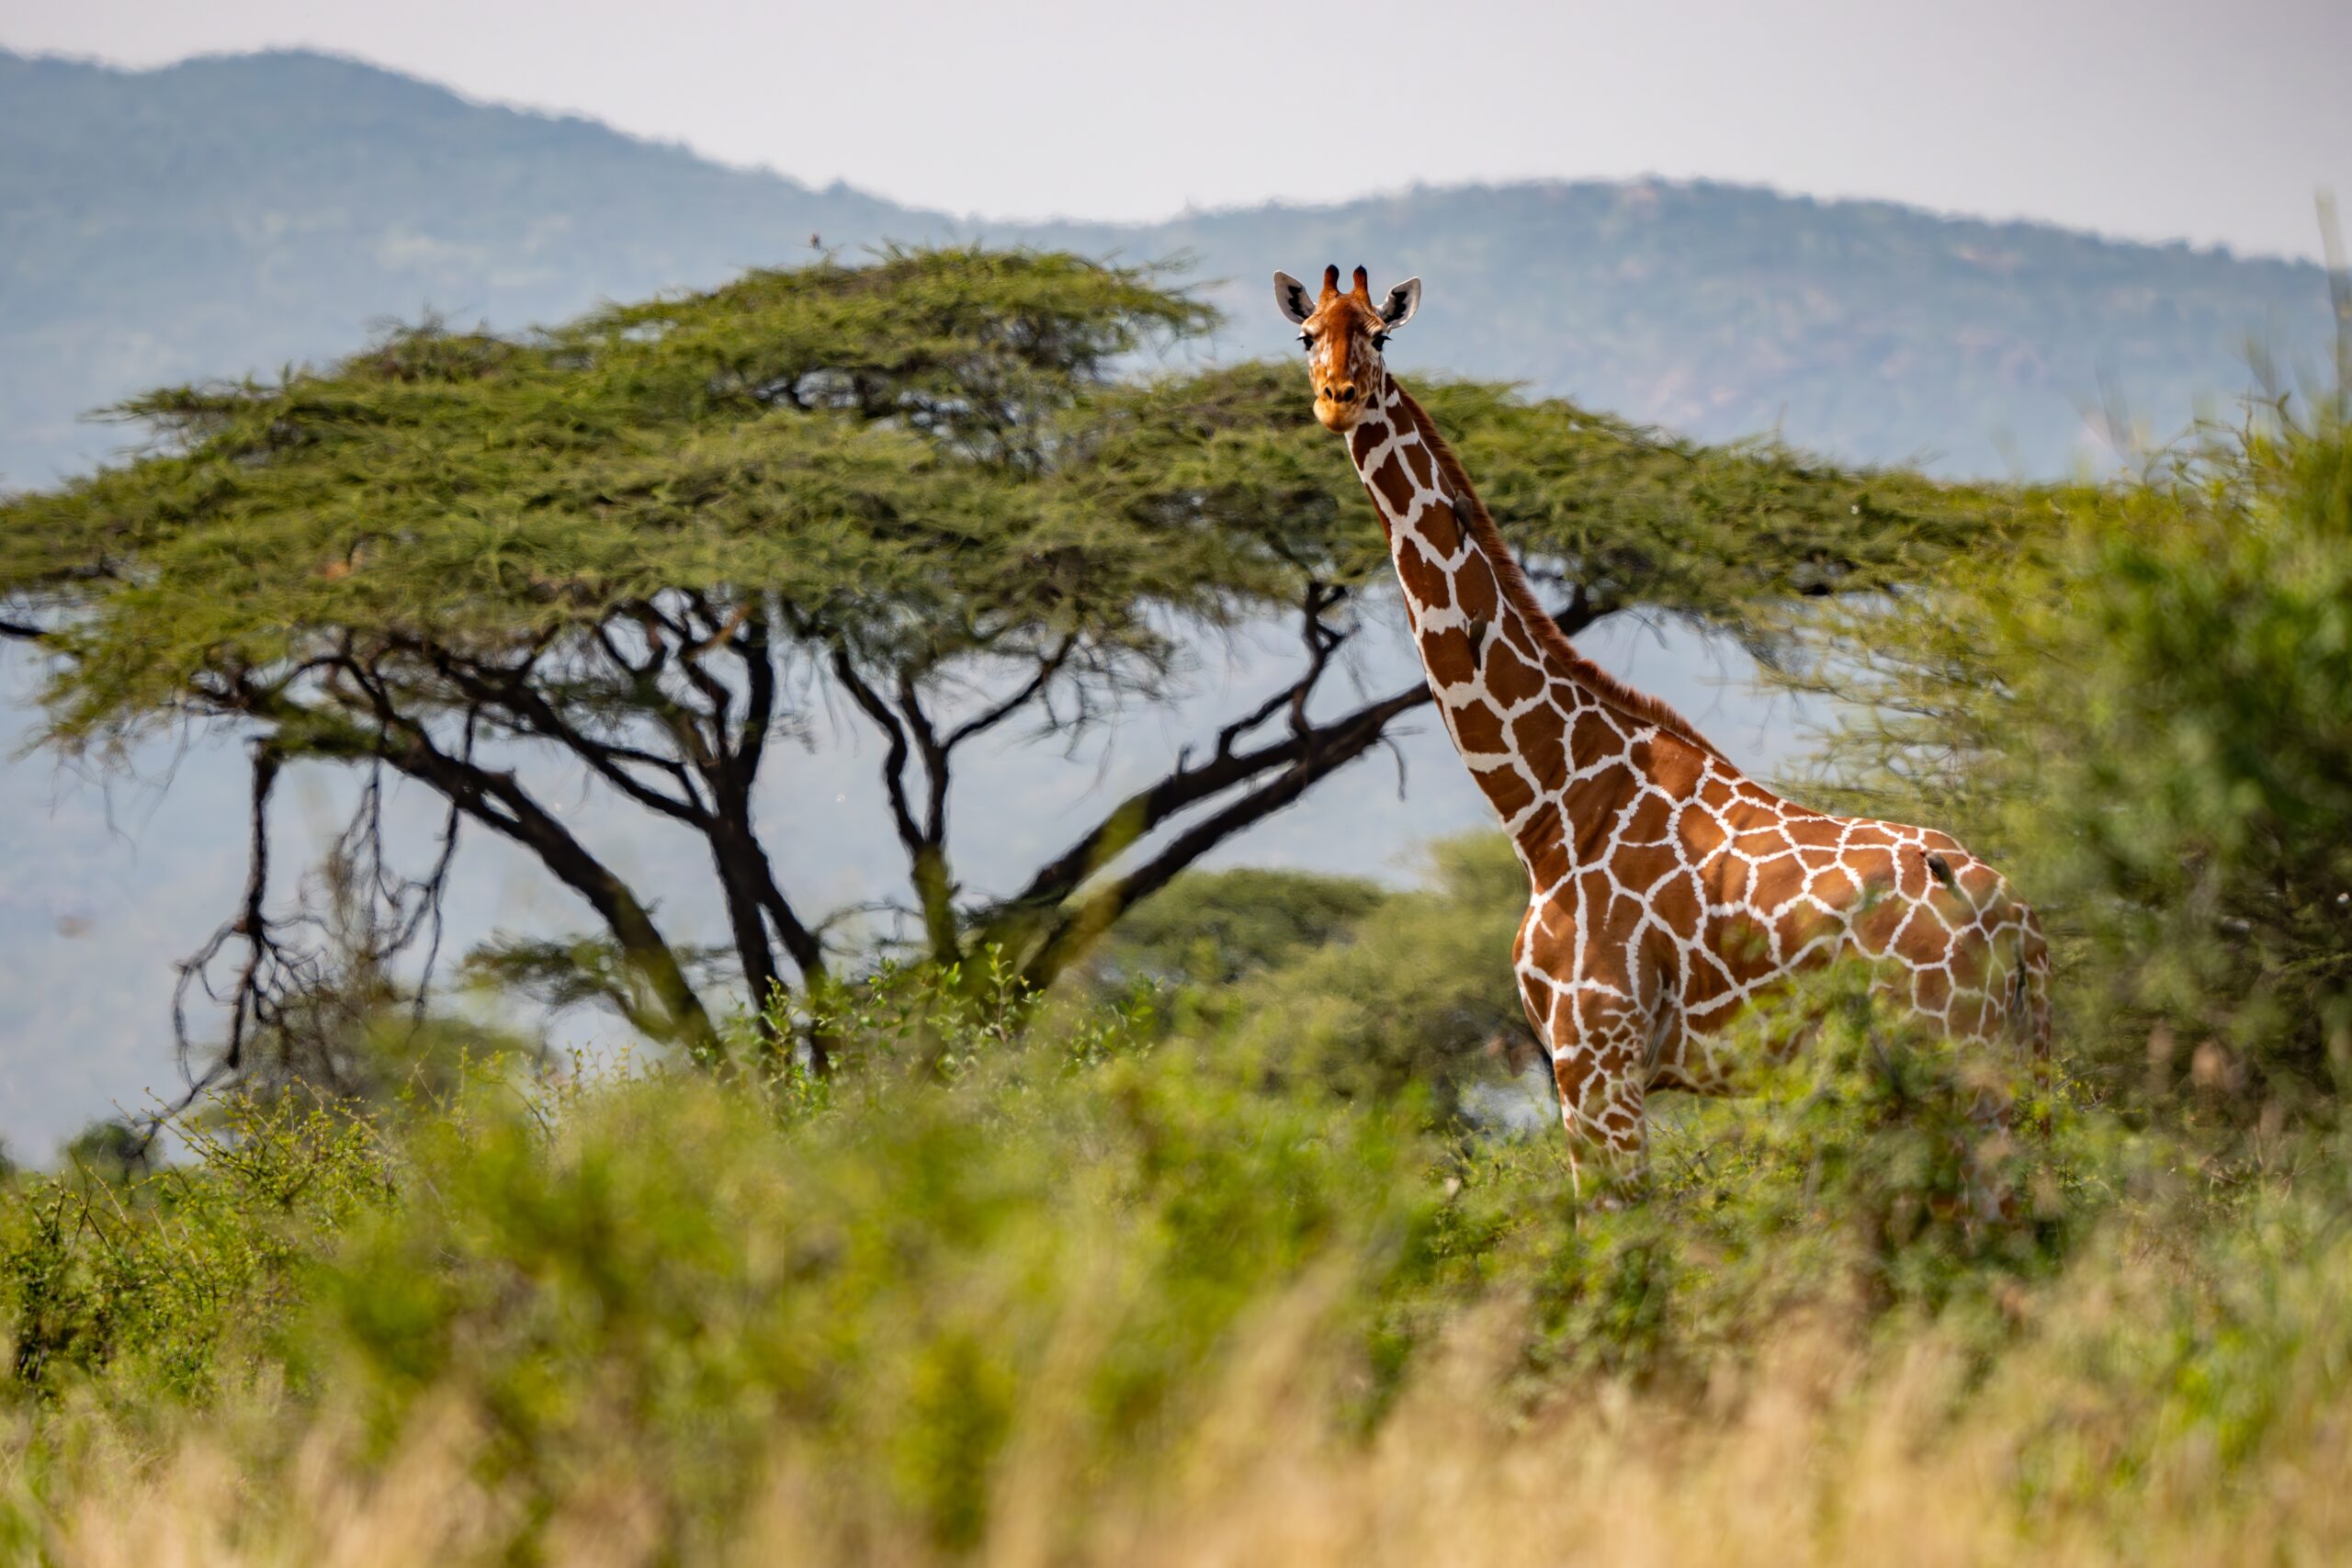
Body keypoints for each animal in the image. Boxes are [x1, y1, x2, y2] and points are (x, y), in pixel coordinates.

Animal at [1279, 266, 2051, 1175]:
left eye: (1380, 334)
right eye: (1307, 335)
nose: (1338, 398)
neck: (1548, 800)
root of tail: (2021, 926)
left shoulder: (1597, 1055)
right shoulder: (1587, 1060)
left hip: (1951, 1061)